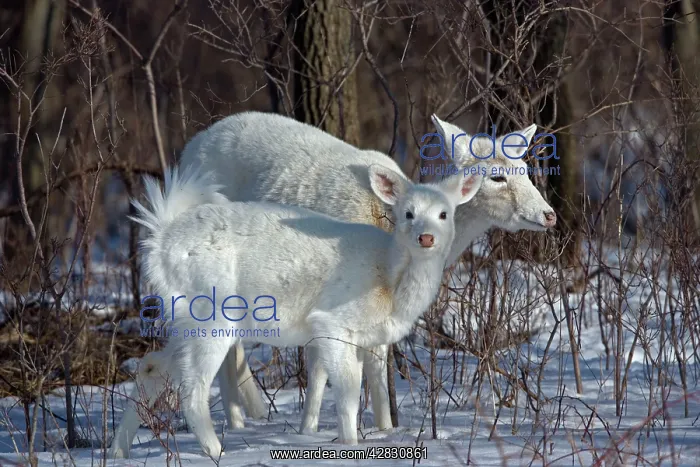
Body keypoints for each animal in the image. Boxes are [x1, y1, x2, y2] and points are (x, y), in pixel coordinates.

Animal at [108, 163, 484, 458]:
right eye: (408, 213)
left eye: (444, 214)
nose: (426, 238)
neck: (389, 279)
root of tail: (160, 240)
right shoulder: (333, 322)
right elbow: (348, 394)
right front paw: (350, 445)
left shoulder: (364, 338)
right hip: (212, 313)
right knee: (192, 388)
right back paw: (216, 451)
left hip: (185, 316)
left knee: (151, 365)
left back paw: (118, 451)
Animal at [172, 111, 557, 438]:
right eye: (497, 176)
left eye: (525, 168)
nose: (549, 214)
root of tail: (187, 150)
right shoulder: (334, 294)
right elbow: (323, 369)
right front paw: (310, 429)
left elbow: (377, 361)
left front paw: (385, 426)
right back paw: (238, 422)